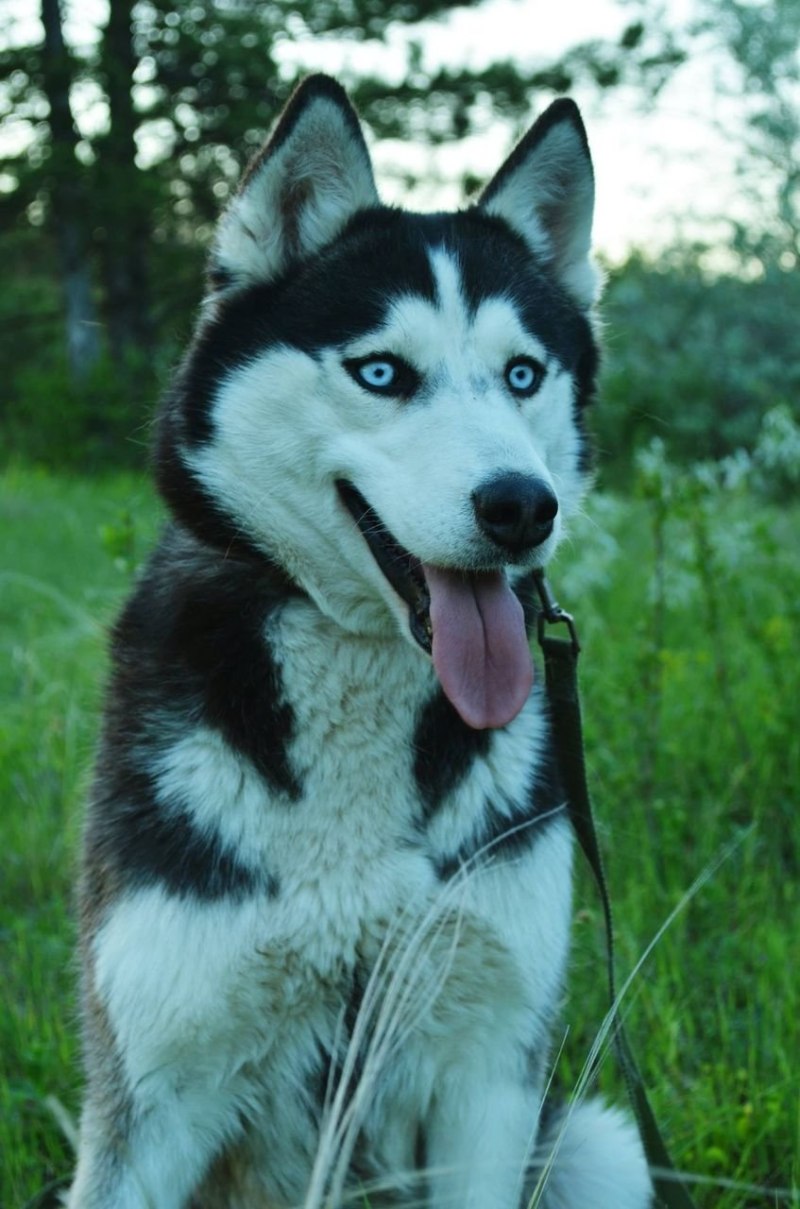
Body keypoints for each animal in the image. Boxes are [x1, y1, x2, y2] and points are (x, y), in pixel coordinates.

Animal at [68, 77, 657, 1209]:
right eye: (381, 371)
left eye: (524, 374)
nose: (524, 507)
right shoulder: (150, 1095)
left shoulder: (486, 1069)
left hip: (599, 1144)